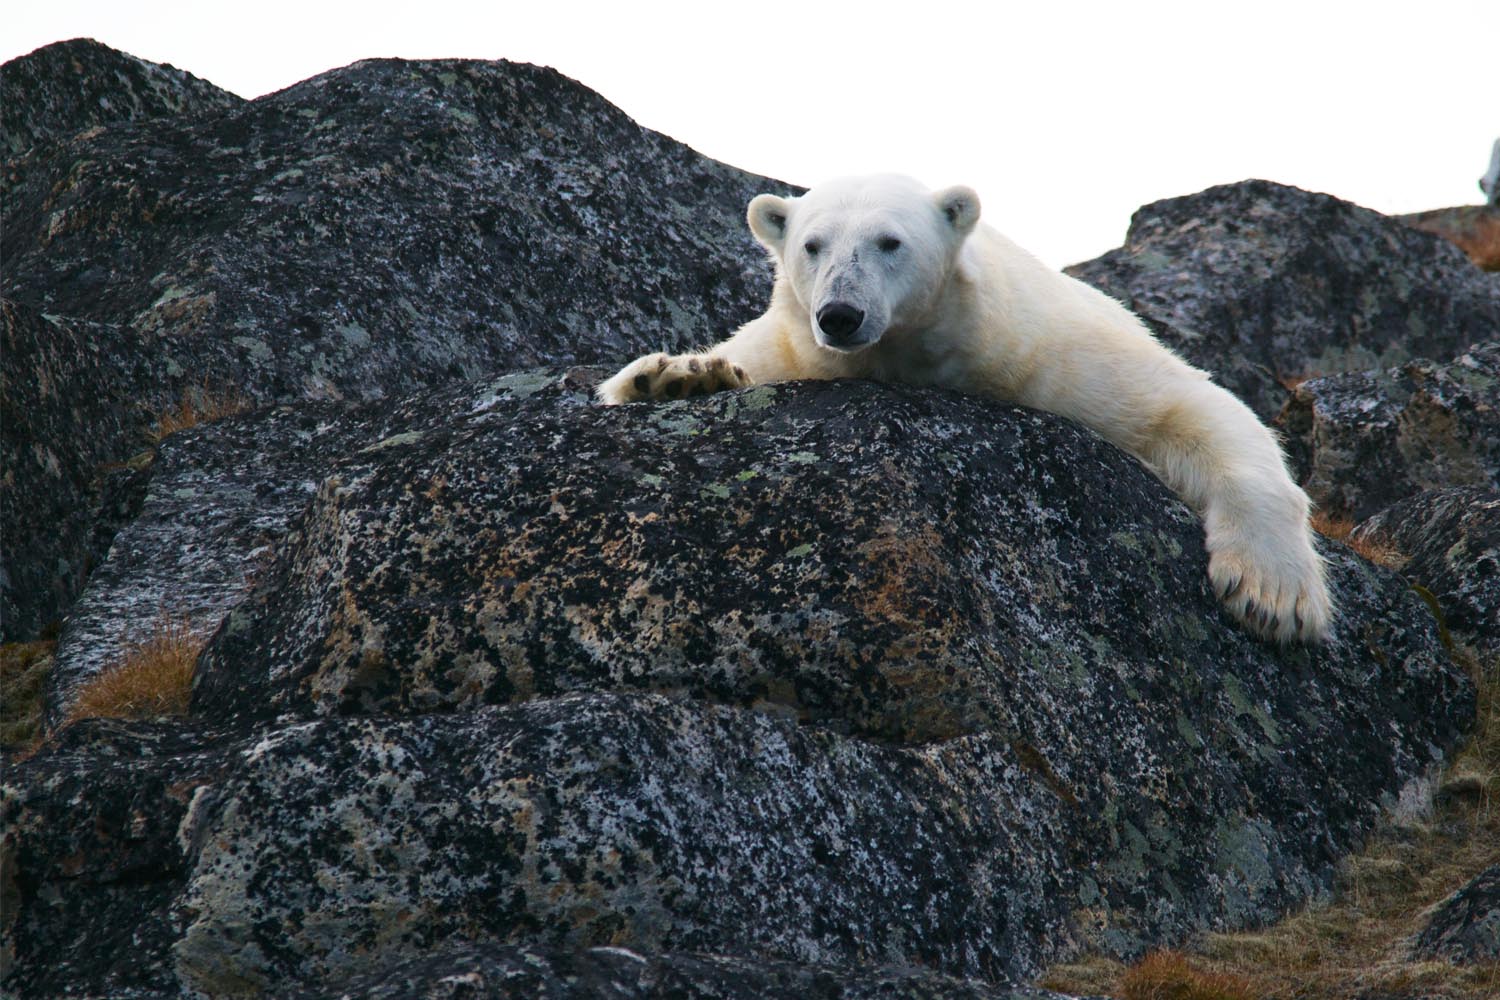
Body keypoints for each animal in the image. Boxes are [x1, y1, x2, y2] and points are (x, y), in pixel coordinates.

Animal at [594, 176, 1326, 644]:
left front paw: (1272, 596)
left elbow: (1189, 406)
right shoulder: (793, 348)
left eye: (889, 241)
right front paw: (677, 378)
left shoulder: (1049, 352)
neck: (914, 353)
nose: (840, 313)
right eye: (811, 244)